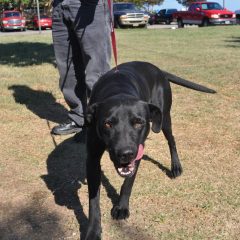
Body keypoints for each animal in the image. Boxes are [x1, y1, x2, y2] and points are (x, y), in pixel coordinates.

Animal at [84, 61, 216, 238]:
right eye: (107, 124)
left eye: (138, 122)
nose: (125, 154)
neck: (119, 89)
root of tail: (158, 69)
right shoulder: (92, 159)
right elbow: (93, 200)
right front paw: (93, 230)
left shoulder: (137, 153)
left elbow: (128, 183)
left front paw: (122, 207)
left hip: (164, 119)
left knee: (172, 141)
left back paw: (176, 167)